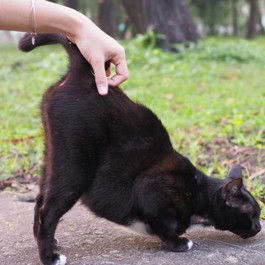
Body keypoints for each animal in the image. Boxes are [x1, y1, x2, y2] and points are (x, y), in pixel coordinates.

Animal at [18, 33, 260, 264]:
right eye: (253, 214)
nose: (259, 227)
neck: (199, 194)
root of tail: (84, 73)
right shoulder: (151, 188)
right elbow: (164, 226)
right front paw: (178, 243)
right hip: (75, 166)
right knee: (47, 210)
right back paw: (49, 256)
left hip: (52, 156)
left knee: (40, 198)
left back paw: (48, 242)